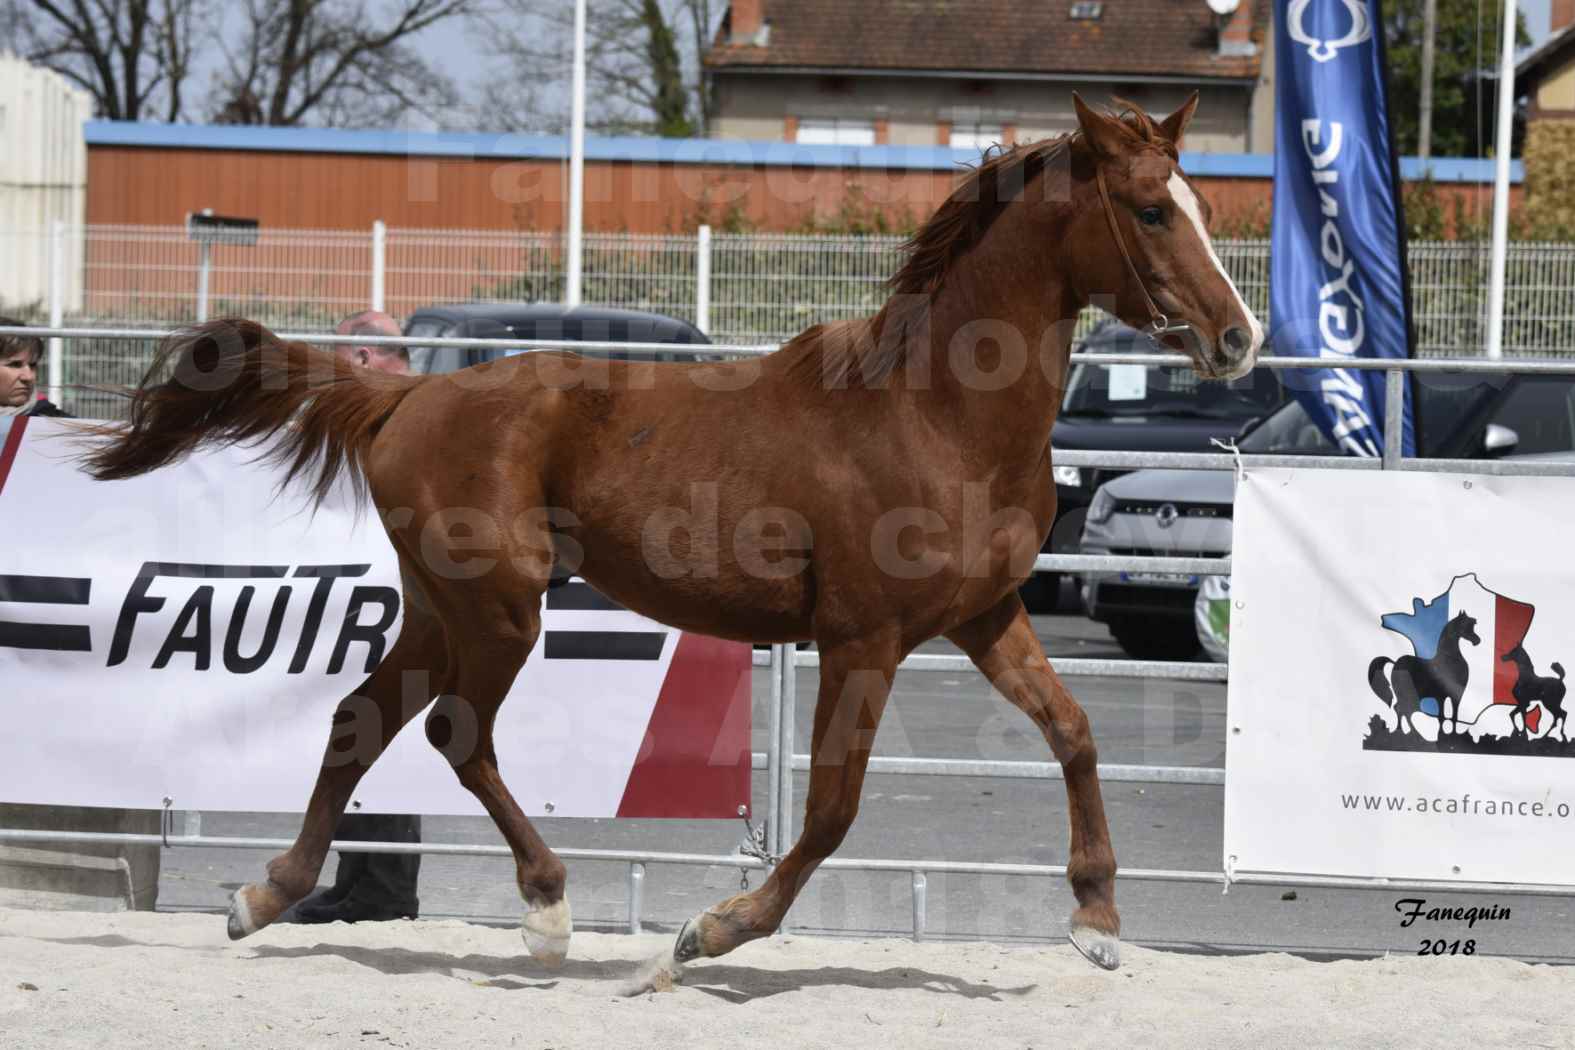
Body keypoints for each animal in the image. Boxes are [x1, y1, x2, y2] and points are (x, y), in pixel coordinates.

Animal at [89, 94, 1266, 976]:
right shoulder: (864, 638)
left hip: (442, 606)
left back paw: (264, 896)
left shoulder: (982, 619)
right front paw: (717, 930)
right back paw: (546, 911)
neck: (932, 412)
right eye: (1151, 209)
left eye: (1199, 202)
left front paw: (1098, 923)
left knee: (357, 721)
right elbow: (832, 809)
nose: (1239, 338)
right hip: (501, 609)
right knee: (455, 736)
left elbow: (1075, 732)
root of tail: (405, 397)